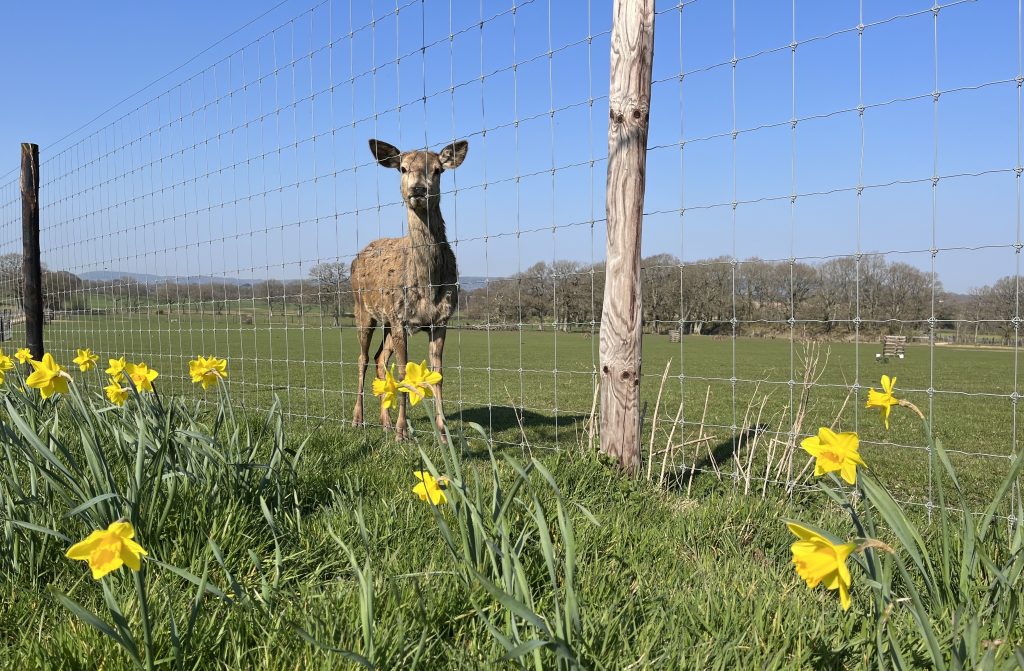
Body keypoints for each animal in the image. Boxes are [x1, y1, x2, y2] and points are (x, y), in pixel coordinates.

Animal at [348, 137, 468, 440]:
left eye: (438, 169)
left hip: (387, 321)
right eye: (402, 168)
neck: (427, 286)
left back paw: (385, 422)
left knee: (379, 358)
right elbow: (403, 373)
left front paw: (442, 432)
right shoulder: (401, 319)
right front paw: (403, 431)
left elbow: (438, 374)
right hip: (362, 309)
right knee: (362, 357)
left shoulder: (441, 320)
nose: (418, 189)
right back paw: (359, 419)